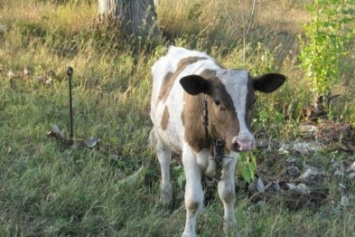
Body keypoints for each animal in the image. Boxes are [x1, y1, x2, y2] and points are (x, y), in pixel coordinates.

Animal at [150, 45, 286, 236]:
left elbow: (228, 193)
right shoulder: (190, 156)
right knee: (164, 160)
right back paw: (165, 196)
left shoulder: (231, 155)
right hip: (160, 131)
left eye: (253, 100)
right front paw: (189, 232)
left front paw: (230, 227)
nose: (245, 142)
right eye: (217, 101)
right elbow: (192, 199)